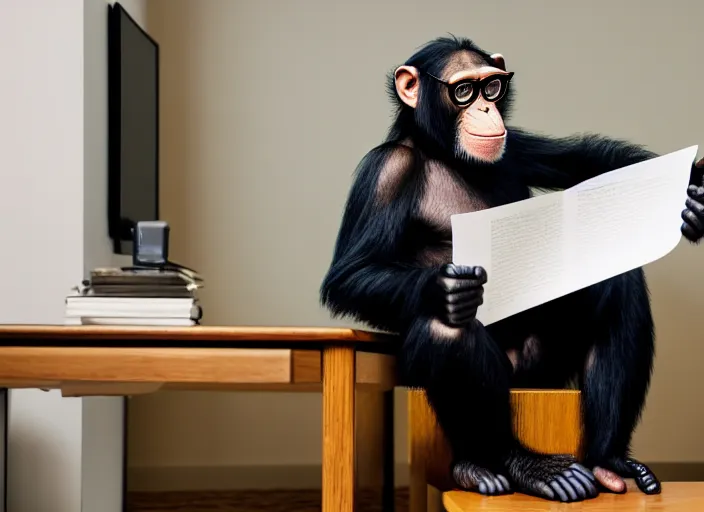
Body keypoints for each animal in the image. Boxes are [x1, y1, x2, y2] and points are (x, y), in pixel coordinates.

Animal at [320, 37, 704, 504]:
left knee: (614, 282)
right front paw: (446, 286)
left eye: (492, 87)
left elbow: (591, 163)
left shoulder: (517, 145)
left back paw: (608, 461)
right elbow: (350, 274)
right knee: (446, 331)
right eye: (463, 91)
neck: (442, 152)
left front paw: (695, 195)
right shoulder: (385, 172)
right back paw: (513, 467)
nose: (487, 108)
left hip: (547, 370)